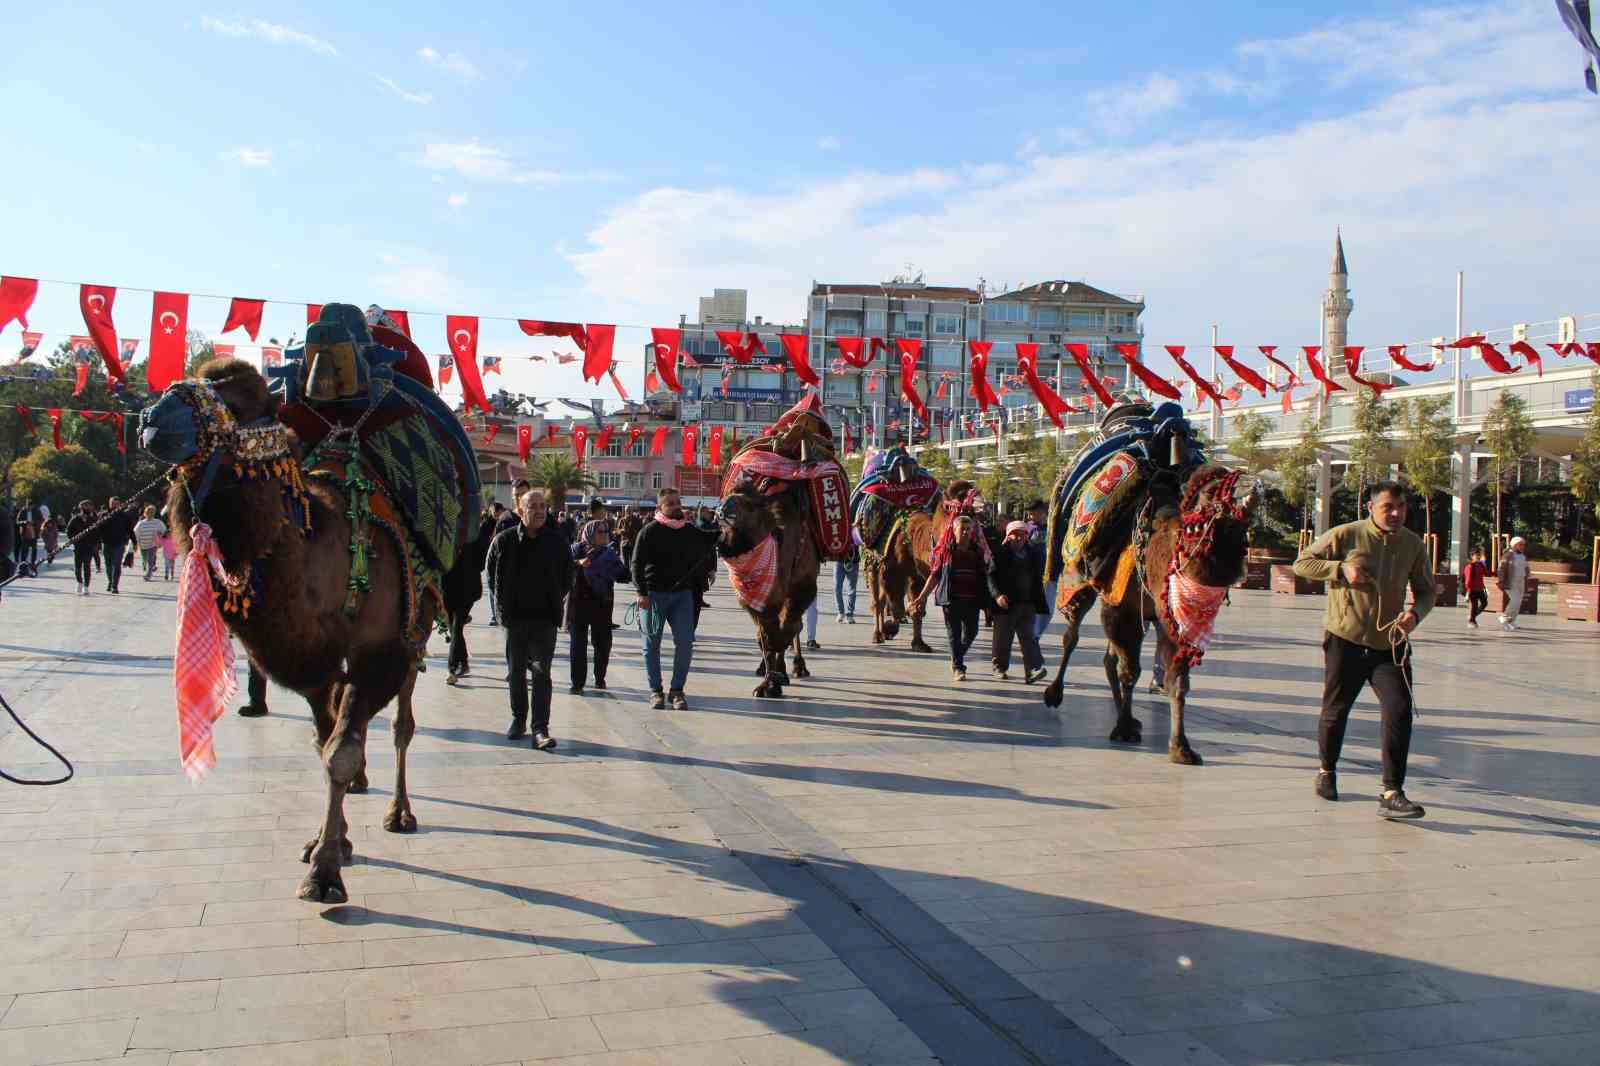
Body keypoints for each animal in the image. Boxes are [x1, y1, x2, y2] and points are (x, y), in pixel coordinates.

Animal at [140, 302, 476, 902]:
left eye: (242, 399)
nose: (155, 419)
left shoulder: (379, 651)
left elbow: (340, 751)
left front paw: (325, 873)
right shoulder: (311, 662)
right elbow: (326, 741)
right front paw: (331, 842)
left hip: (418, 625)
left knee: (401, 723)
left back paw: (400, 811)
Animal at [716, 483, 819, 697]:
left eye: (749, 505)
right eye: (729, 494)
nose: (724, 508)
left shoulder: (802, 587)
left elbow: (786, 629)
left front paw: (776, 679)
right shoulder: (754, 601)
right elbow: (765, 634)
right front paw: (769, 683)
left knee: (793, 626)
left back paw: (798, 668)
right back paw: (766, 668)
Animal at [1036, 400, 1260, 765]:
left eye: (1244, 535)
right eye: (1203, 515)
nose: (1226, 570)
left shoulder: (1172, 618)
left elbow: (1176, 680)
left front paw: (1180, 746)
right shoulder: (1121, 608)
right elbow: (1130, 669)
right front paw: (1124, 727)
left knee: (1110, 657)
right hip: (1081, 581)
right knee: (1073, 635)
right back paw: (1055, 692)